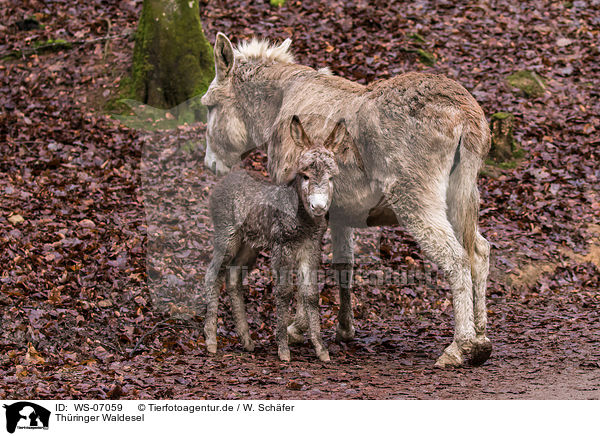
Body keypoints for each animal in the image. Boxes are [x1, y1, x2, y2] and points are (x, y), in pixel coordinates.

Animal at [204, 115, 350, 362]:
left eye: (331, 177)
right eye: (305, 175)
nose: (319, 207)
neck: (303, 222)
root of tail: (224, 180)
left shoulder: (311, 248)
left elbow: (310, 294)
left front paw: (321, 349)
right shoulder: (282, 247)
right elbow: (284, 291)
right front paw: (283, 349)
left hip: (249, 245)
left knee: (233, 277)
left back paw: (247, 340)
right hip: (227, 235)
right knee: (213, 274)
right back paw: (211, 340)